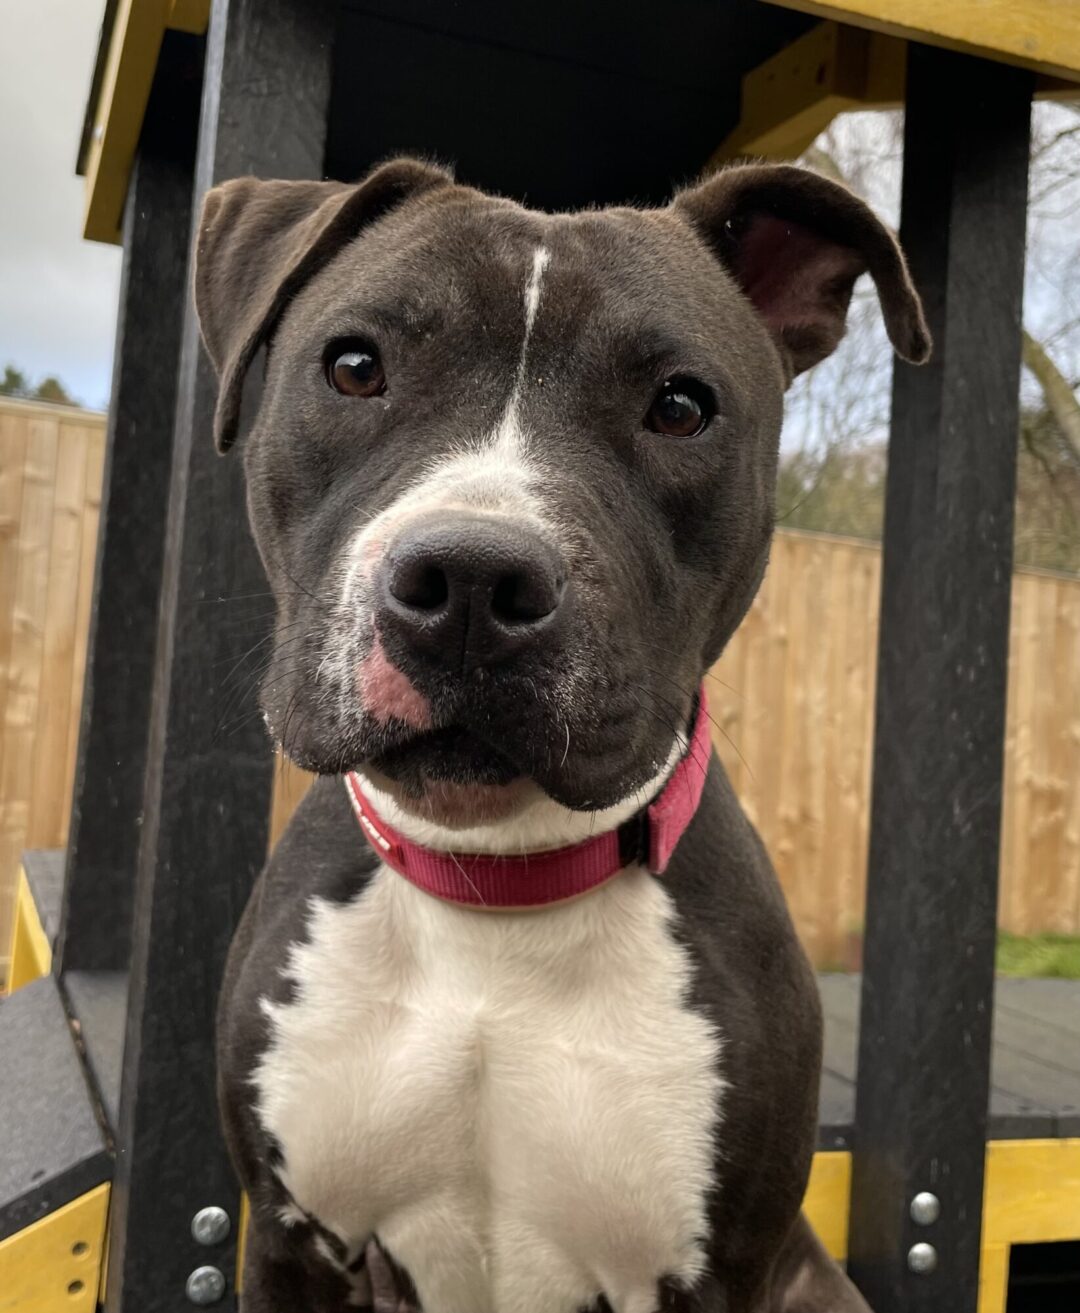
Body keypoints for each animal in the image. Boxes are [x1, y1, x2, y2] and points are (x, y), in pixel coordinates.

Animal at [196, 156, 929, 1313]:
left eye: (681, 406)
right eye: (354, 367)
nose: (469, 580)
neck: (496, 885)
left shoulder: (718, 1270)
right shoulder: (288, 1238)